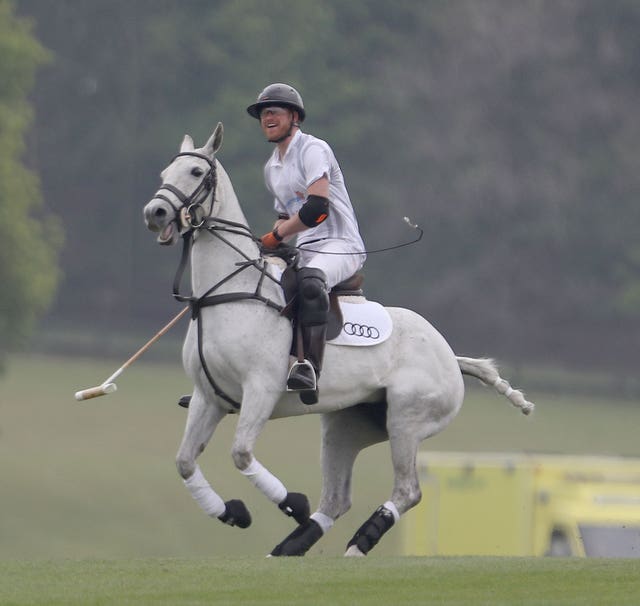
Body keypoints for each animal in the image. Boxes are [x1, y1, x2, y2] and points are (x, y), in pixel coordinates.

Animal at [142, 124, 532, 560]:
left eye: (195, 172)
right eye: (164, 174)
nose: (155, 213)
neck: (226, 292)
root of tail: (449, 354)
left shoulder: (260, 388)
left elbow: (241, 453)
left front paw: (292, 502)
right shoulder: (208, 396)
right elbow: (184, 461)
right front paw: (234, 512)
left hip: (407, 419)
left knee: (408, 491)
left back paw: (358, 543)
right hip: (347, 425)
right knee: (336, 499)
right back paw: (291, 546)